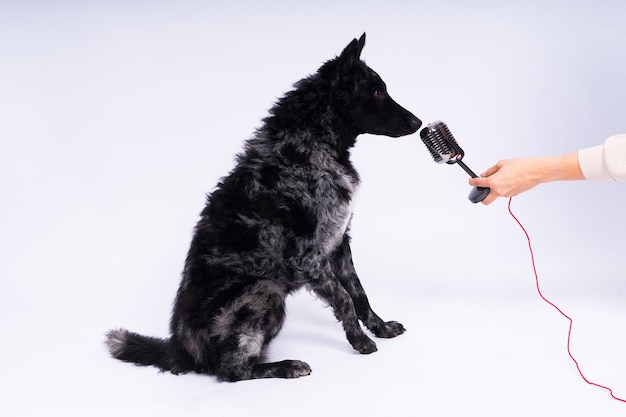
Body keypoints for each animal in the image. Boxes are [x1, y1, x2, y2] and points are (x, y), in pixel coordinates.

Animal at [106, 34, 420, 382]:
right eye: (376, 91)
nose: (419, 123)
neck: (308, 144)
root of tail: (180, 351)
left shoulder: (340, 243)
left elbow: (360, 294)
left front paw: (381, 327)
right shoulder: (310, 258)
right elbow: (344, 299)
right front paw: (360, 342)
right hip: (265, 291)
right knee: (232, 370)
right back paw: (286, 366)